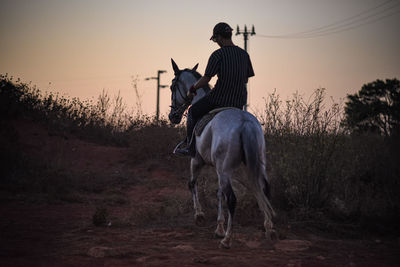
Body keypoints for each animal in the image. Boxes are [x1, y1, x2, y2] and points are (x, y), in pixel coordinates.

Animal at [167, 59, 276, 249]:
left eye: (173, 87)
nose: (172, 116)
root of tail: (245, 123)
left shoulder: (196, 160)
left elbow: (192, 183)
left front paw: (200, 216)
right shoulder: (218, 169)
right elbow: (218, 193)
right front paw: (219, 227)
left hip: (224, 169)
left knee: (232, 199)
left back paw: (227, 239)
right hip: (254, 165)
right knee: (263, 190)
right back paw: (269, 229)